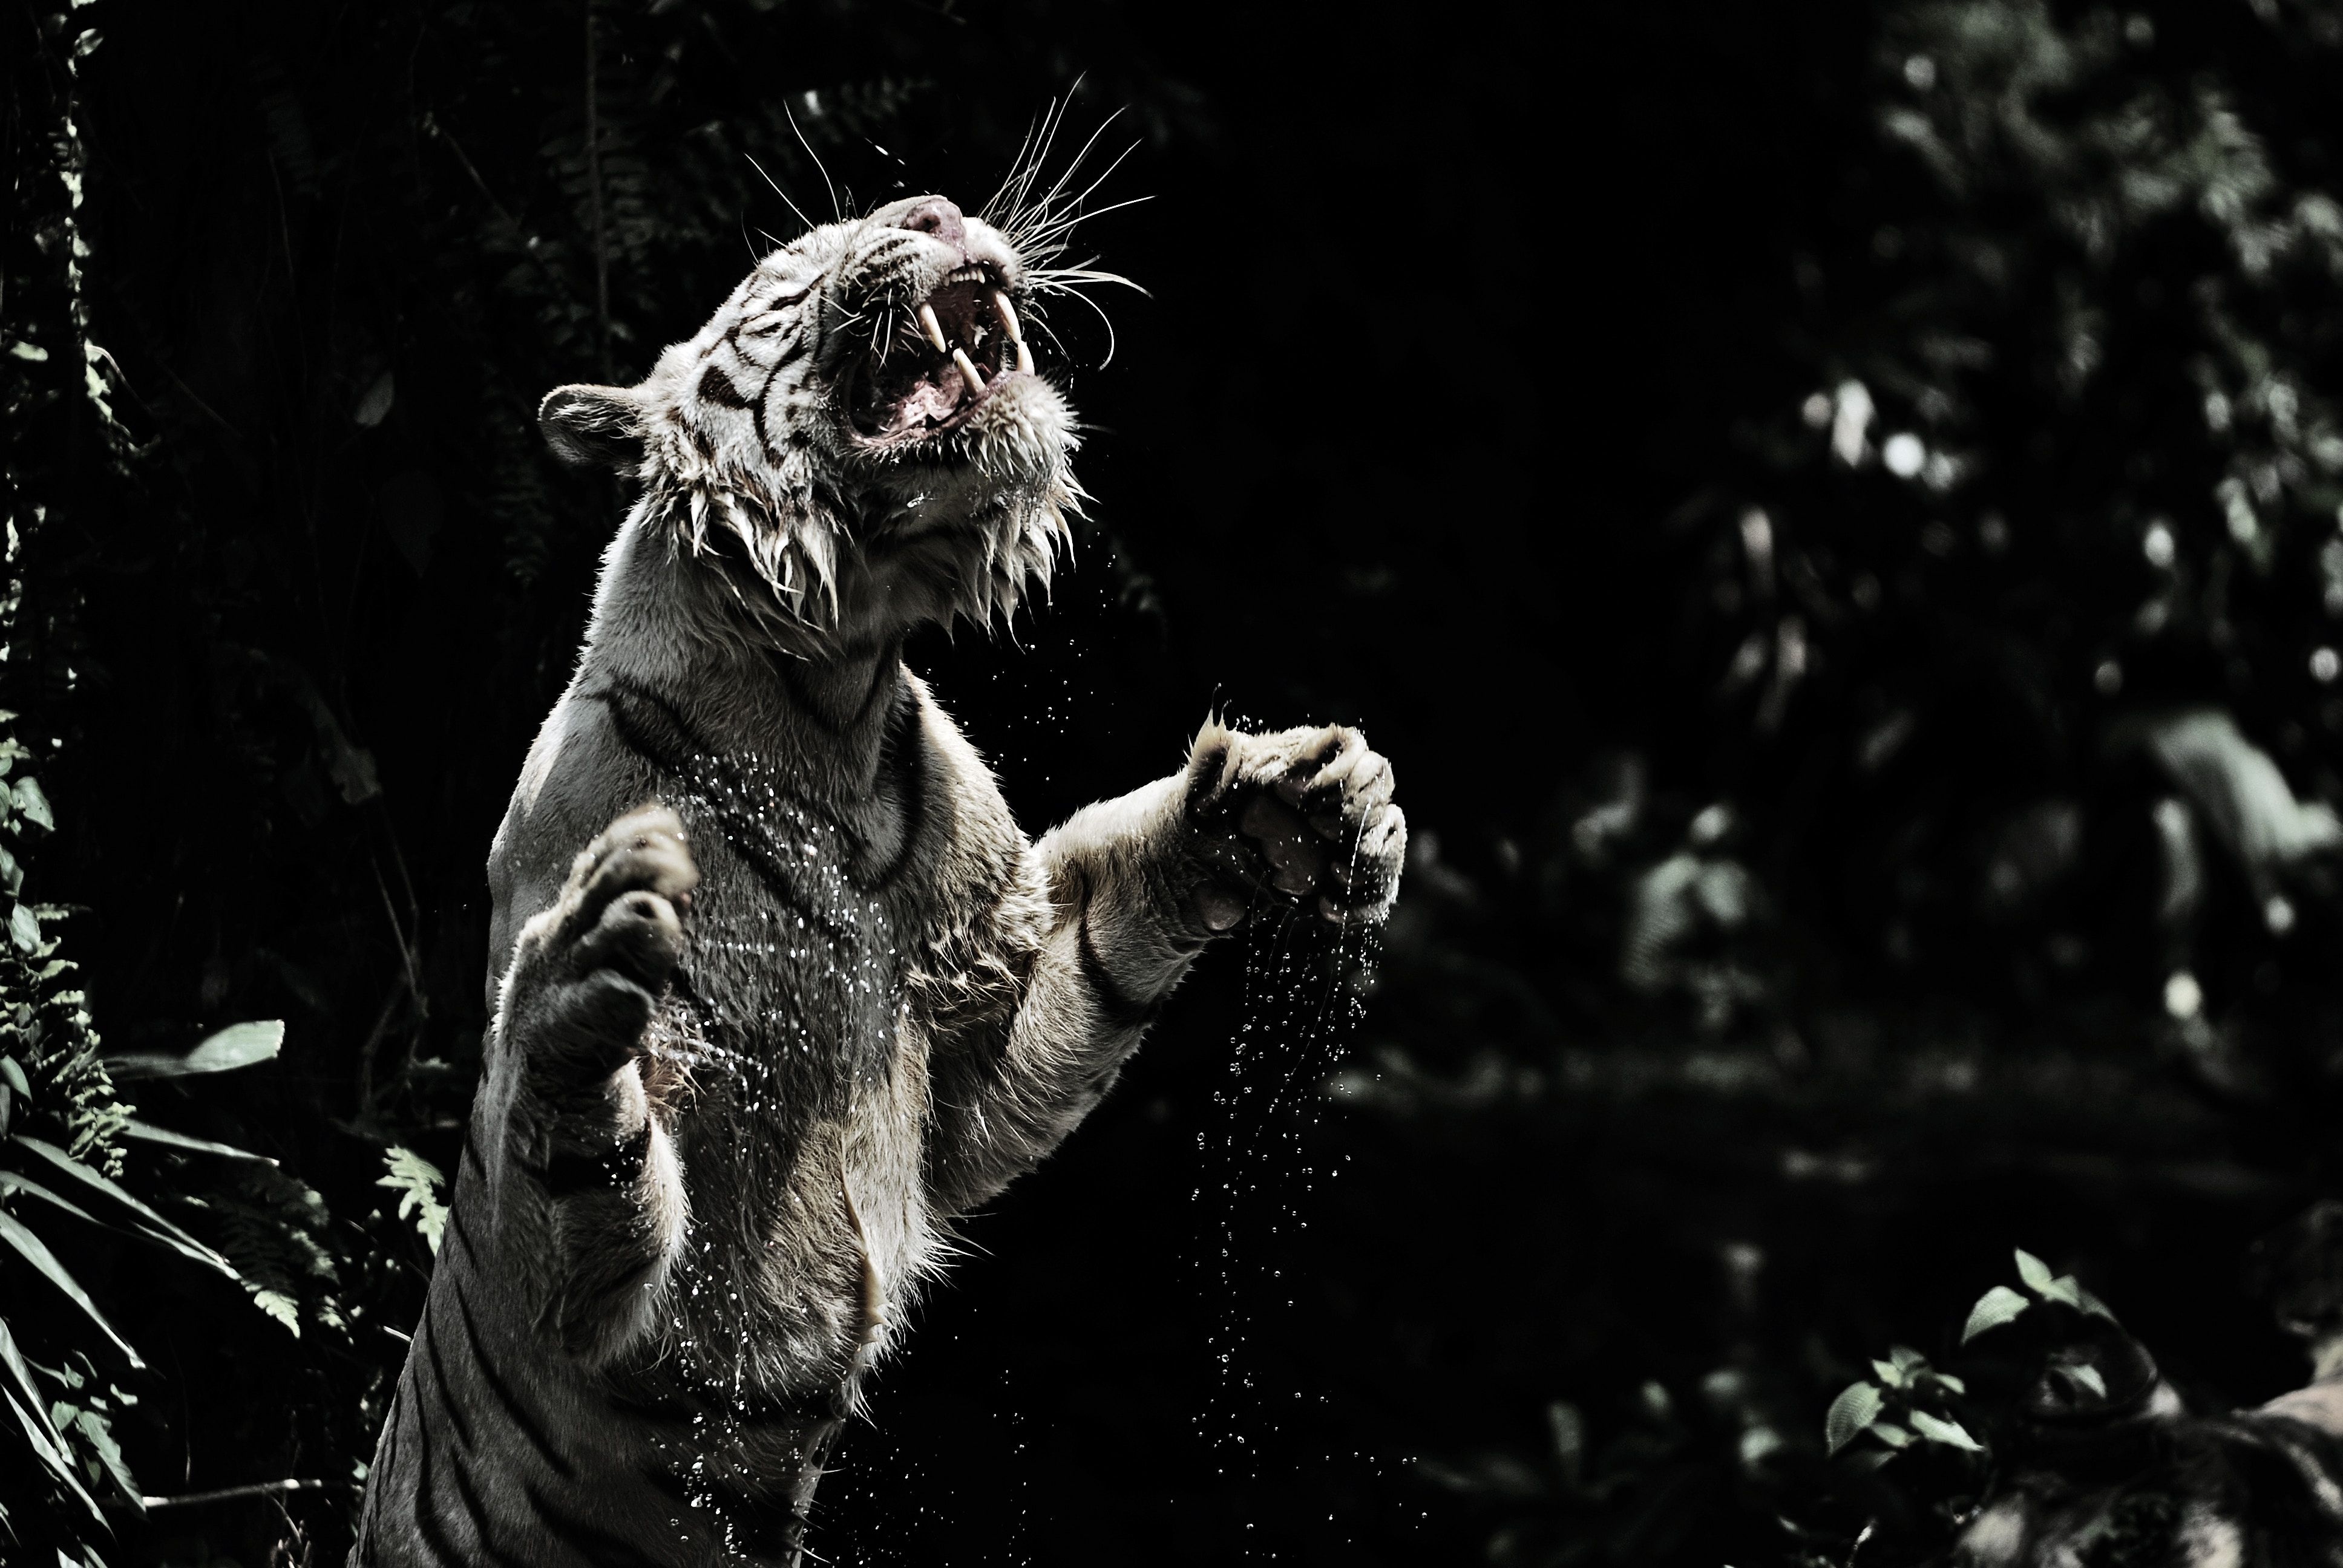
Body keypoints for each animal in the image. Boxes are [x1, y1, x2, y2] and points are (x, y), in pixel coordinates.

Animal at [348, 190, 1406, 1567]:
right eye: (788, 262)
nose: (939, 208)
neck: (830, 704)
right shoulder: (614, 1292)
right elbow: (574, 1159)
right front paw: (587, 966)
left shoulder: (977, 1024)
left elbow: (1106, 934)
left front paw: (1302, 801)